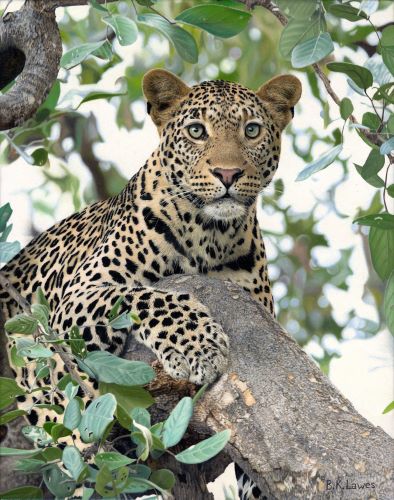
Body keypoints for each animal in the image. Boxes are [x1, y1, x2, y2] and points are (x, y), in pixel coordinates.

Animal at [0, 68, 302, 498]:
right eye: (197, 131)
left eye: (252, 130)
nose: (228, 174)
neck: (210, 235)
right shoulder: (78, 296)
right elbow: (147, 297)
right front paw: (199, 347)